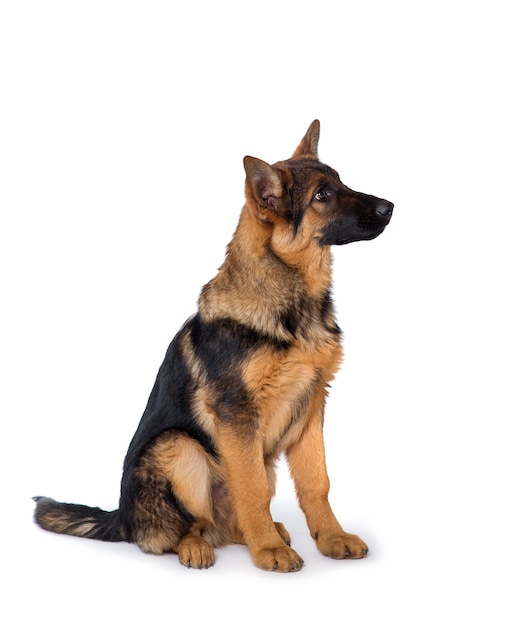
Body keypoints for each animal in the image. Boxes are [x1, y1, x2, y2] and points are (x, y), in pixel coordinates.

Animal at [33, 118, 390, 572]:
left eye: (341, 182)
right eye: (322, 195)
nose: (389, 207)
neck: (291, 301)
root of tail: (123, 518)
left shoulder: (311, 407)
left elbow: (317, 483)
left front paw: (331, 537)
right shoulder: (237, 413)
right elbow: (252, 490)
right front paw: (269, 552)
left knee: (226, 522)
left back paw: (264, 533)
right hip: (179, 447)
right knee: (183, 527)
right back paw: (205, 545)